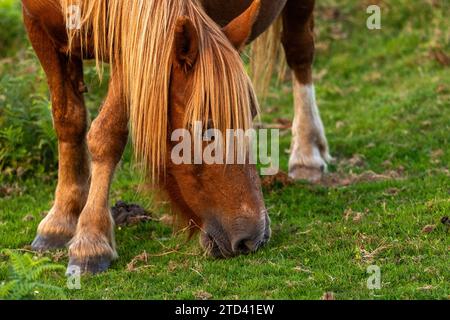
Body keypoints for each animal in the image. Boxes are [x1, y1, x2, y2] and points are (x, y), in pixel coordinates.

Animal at [22, 0, 330, 276]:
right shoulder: (38, 26)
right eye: (206, 128)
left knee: (299, 50)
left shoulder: (134, 47)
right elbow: (68, 120)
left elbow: (108, 134)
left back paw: (307, 152)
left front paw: (91, 241)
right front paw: (61, 219)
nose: (254, 238)